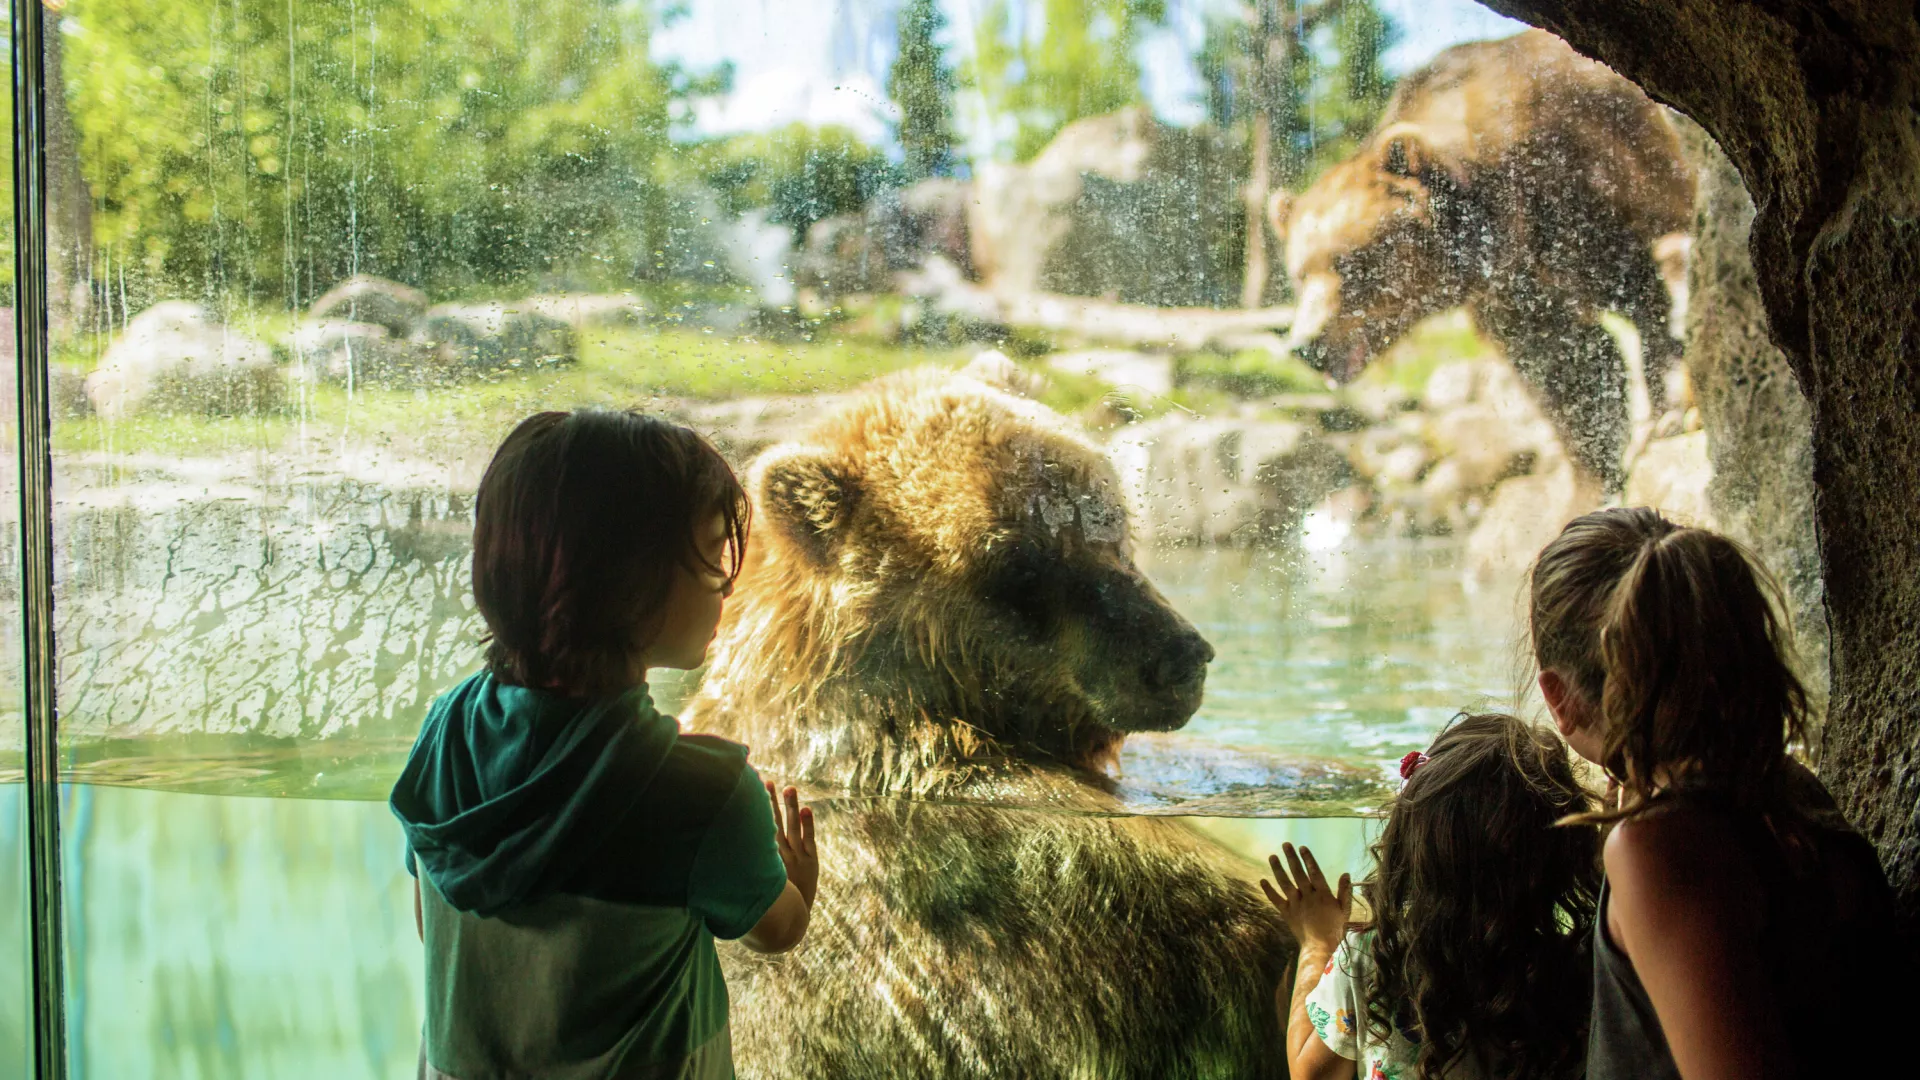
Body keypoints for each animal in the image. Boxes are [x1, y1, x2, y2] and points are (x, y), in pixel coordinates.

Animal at [1267, 29, 1696, 495]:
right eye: (1300, 274)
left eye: (1350, 263)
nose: (1305, 344)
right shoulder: (1511, 289)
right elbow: (1565, 367)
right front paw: (1591, 479)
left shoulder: (1585, 190)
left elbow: (1644, 298)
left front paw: (1670, 416)